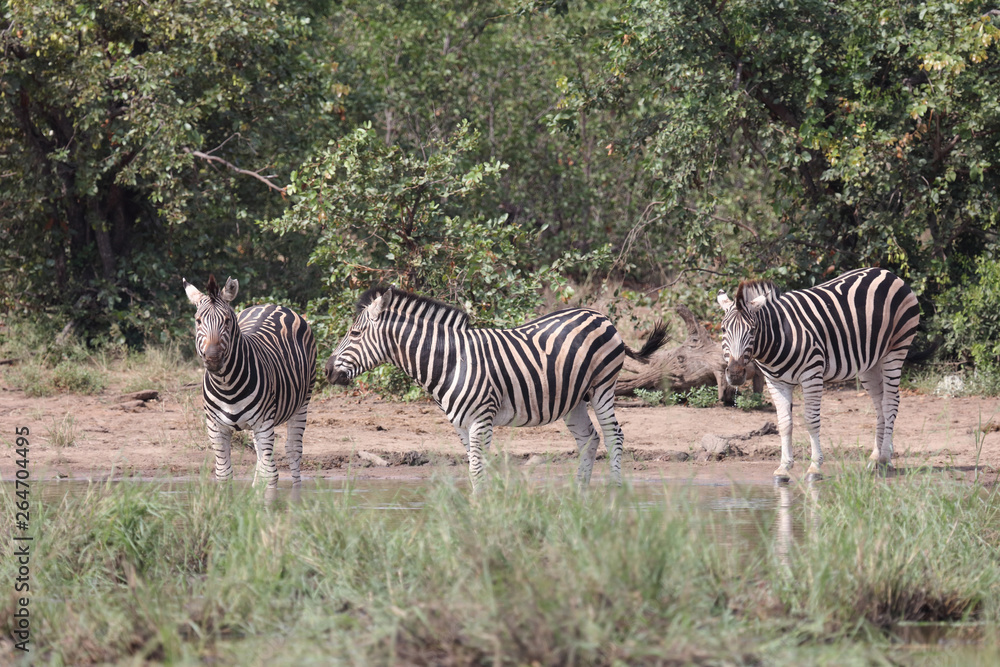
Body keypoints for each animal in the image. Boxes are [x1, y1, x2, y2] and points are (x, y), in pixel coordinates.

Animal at [183, 275, 317, 489]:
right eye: (198, 321)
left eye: (227, 321)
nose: (213, 359)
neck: (227, 386)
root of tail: (272, 305)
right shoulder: (215, 427)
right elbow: (224, 473)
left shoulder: (263, 423)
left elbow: (270, 475)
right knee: (261, 456)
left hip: (302, 403)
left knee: (293, 450)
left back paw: (297, 491)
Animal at [324, 286, 667, 489]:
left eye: (354, 334)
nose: (326, 370)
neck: (451, 360)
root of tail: (600, 314)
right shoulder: (461, 425)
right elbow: (475, 468)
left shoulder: (482, 420)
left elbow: (478, 470)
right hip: (573, 399)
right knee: (589, 438)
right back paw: (579, 493)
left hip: (602, 386)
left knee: (613, 435)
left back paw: (614, 491)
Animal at [716, 267, 920, 481]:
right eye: (723, 329)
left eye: (753, 330)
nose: (735, 374)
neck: (779, 336)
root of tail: (887, 272)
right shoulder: (776, 382)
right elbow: (784, 423)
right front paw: (783, 468)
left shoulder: (812, 375)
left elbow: (811, 421)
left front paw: (814, 467)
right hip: (870, 364)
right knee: (880, 405)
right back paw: (876, 457)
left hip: (896, 350)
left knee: (890, 403)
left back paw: (885, 459)